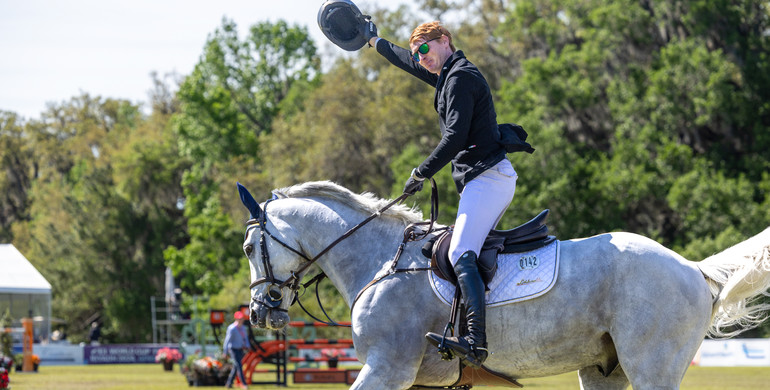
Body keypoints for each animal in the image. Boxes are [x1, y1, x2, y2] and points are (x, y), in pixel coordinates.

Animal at [237, 181, 768, 390]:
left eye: (247, 248)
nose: (262, 311)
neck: (379, 260)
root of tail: (691, 268)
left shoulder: (387, 369)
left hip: (652, 368)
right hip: (604, 370)